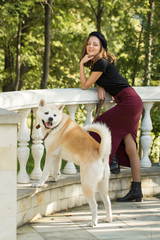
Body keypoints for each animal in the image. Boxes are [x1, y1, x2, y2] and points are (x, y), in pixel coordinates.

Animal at [32, 99, 112, 227]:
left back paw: (93, 222)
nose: (51, 119)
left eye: (54, 115)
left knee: (94, 205)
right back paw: (108, 219)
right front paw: (55, 179)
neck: (57, 126)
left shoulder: (50, 153)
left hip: (87, 185)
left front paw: (39, 184)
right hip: (102, 185)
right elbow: (56, 169)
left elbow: (45, 172)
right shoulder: (57, 155)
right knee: (107, 202)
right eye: (46, 113)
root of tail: (101, 154)